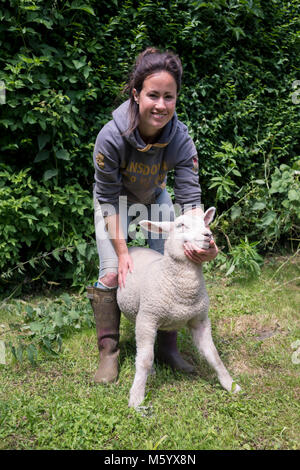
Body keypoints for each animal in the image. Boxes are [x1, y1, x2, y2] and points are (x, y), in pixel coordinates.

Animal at [116, 207, 240, 410]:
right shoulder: (148, 318)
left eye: (205, 224)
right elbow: (144, 359)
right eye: (181, 225)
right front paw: (136, 397)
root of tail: (134, 247)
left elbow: (213, 355)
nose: (208, 235)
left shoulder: (200, 320)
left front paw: (230, 385)